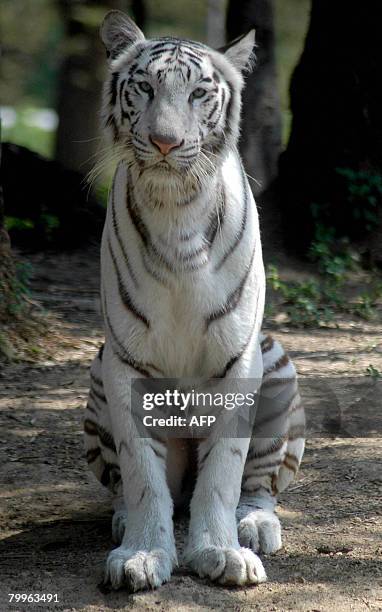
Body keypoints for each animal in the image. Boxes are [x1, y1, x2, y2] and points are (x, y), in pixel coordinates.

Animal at [83, 9, 304, 592]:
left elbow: (224, 472)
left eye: (199, 92)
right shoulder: (125, 364)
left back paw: (255, 526)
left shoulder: (240, 359)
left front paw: (220, 552)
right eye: (145, 87)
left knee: (259, 485)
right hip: (97, 375)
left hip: (277, 368)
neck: (174, 204)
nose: (164, 142)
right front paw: (141, 555)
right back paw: (122, 521)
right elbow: (142, 476)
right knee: (130, 487)